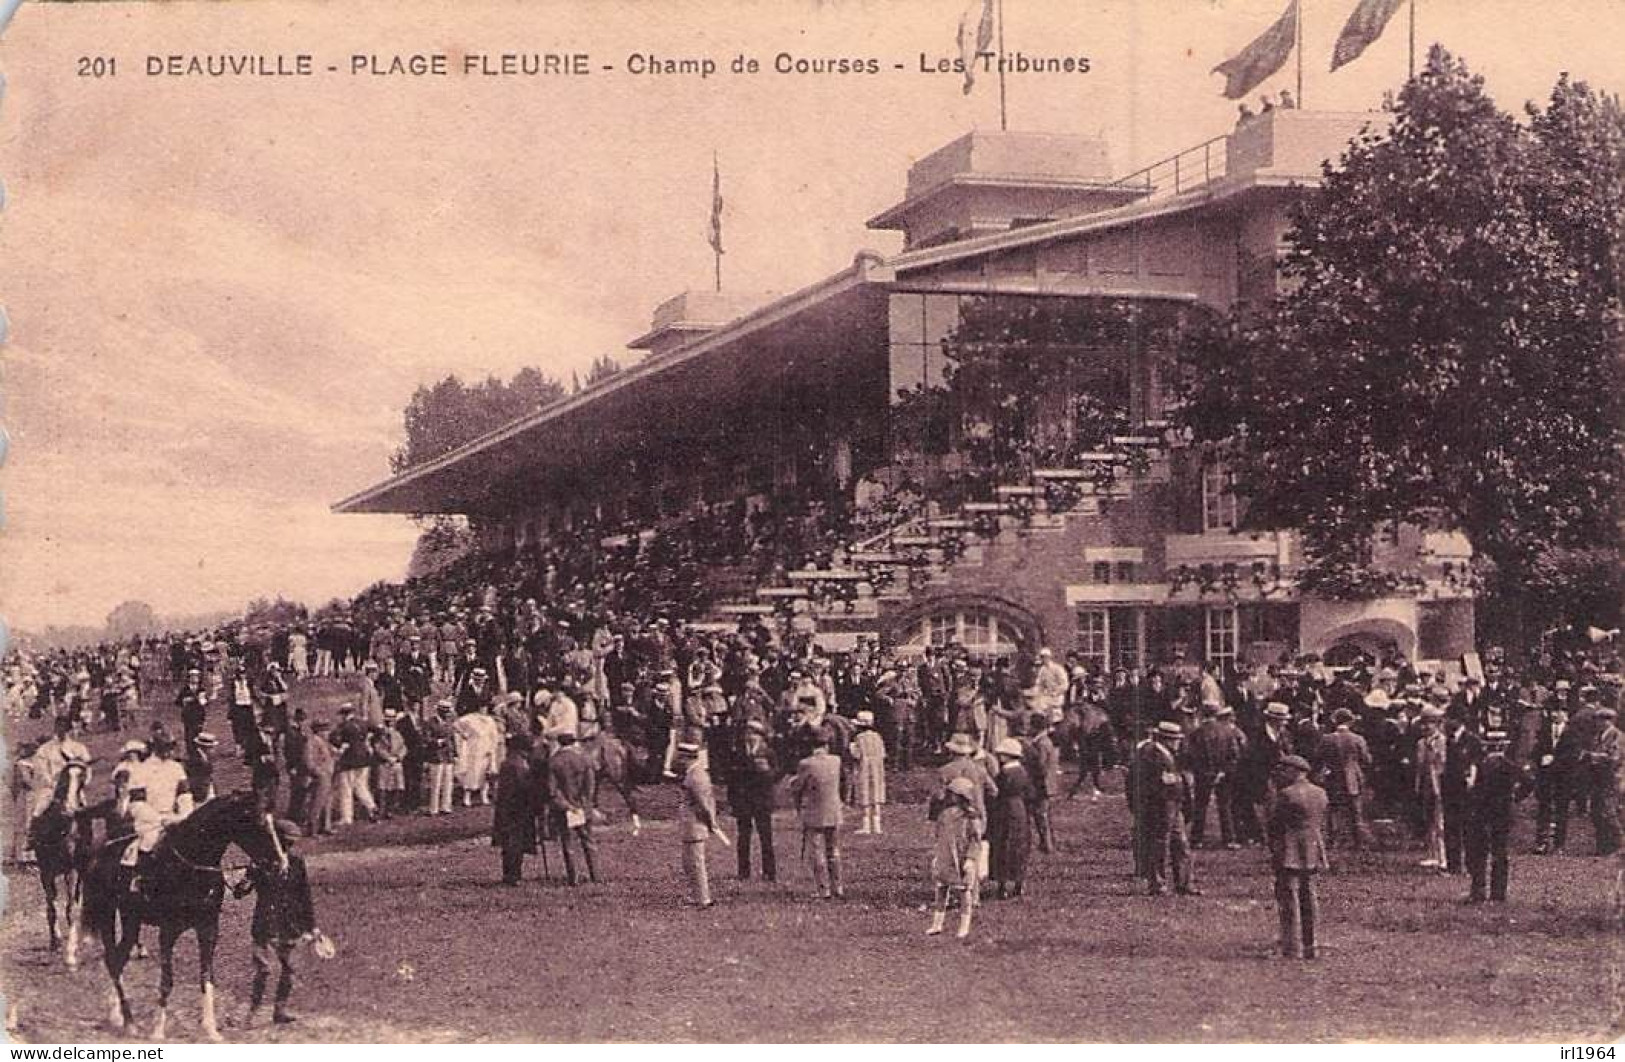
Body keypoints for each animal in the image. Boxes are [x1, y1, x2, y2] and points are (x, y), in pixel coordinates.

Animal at [82, 795, 284, 1045]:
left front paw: (211, 1030)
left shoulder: (208, 928)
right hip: (109, 915)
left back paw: (116, 1016)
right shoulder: (168, 931)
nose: (280, 863)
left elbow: (207, 976)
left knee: (117, 960)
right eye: (259, 824)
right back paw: (129, 1022)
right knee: (112, 959)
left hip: (131, 920)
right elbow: (166, 981)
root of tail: (101, 849)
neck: (191, 865)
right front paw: (158, 1031)